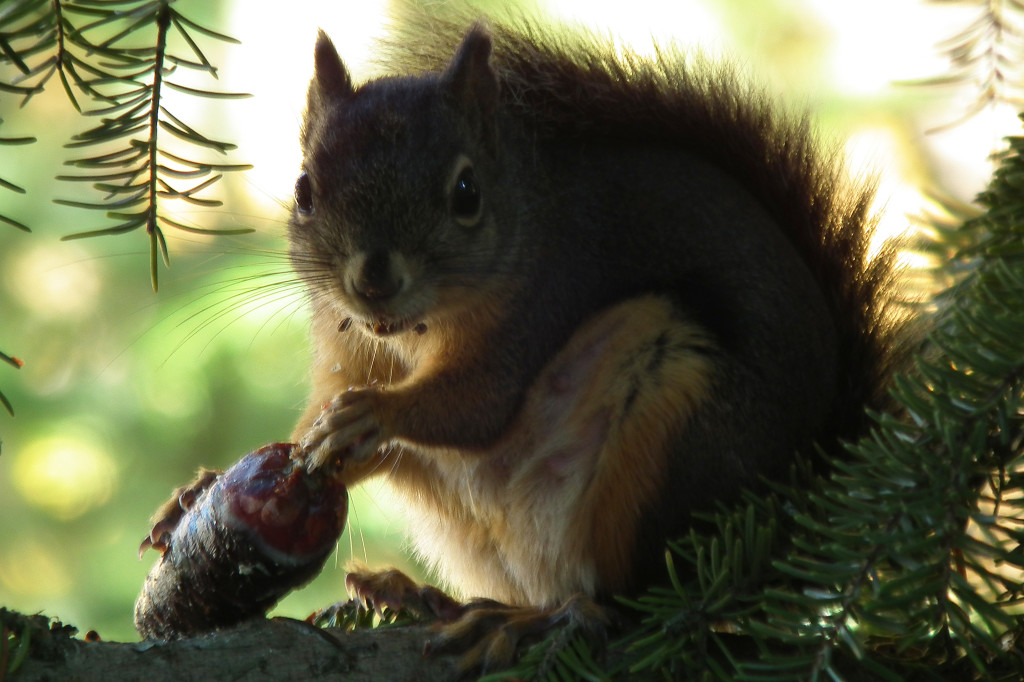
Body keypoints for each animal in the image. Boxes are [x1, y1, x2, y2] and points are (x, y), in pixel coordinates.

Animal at [288, 6, 900, 669]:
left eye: (466, 194)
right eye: (304, 189)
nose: (373, 281)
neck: (404, 338)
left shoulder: (544, 300)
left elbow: (475, 408)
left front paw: (373, 414)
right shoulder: (344, 354)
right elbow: (330, 418)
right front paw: (282, 455)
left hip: (670, 443)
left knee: (633, 598)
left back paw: (531, 620)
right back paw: (428, 597)